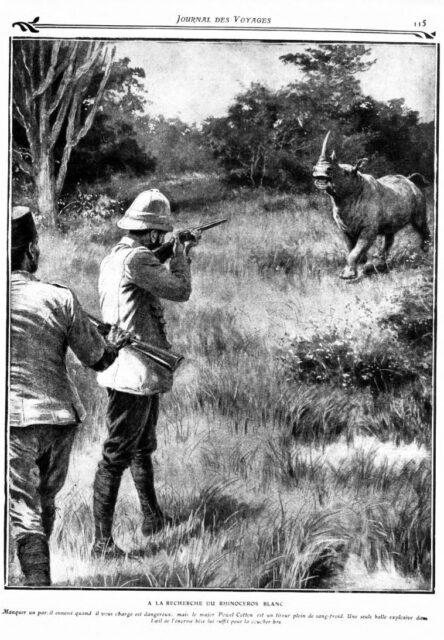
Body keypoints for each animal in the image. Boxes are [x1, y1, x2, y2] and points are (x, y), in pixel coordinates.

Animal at [313, 131, 431, 279]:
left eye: (346, 173)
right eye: (316, 168)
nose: (318, 171)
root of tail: (410, 181)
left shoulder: (369, 228)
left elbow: (357, 249)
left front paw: (347, 275)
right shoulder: (344, 227)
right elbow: (351, 248)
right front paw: (361, 264)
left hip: (418, 197)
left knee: (420, 222)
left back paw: (426, 251)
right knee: (390, 231)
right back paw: (380, 260)